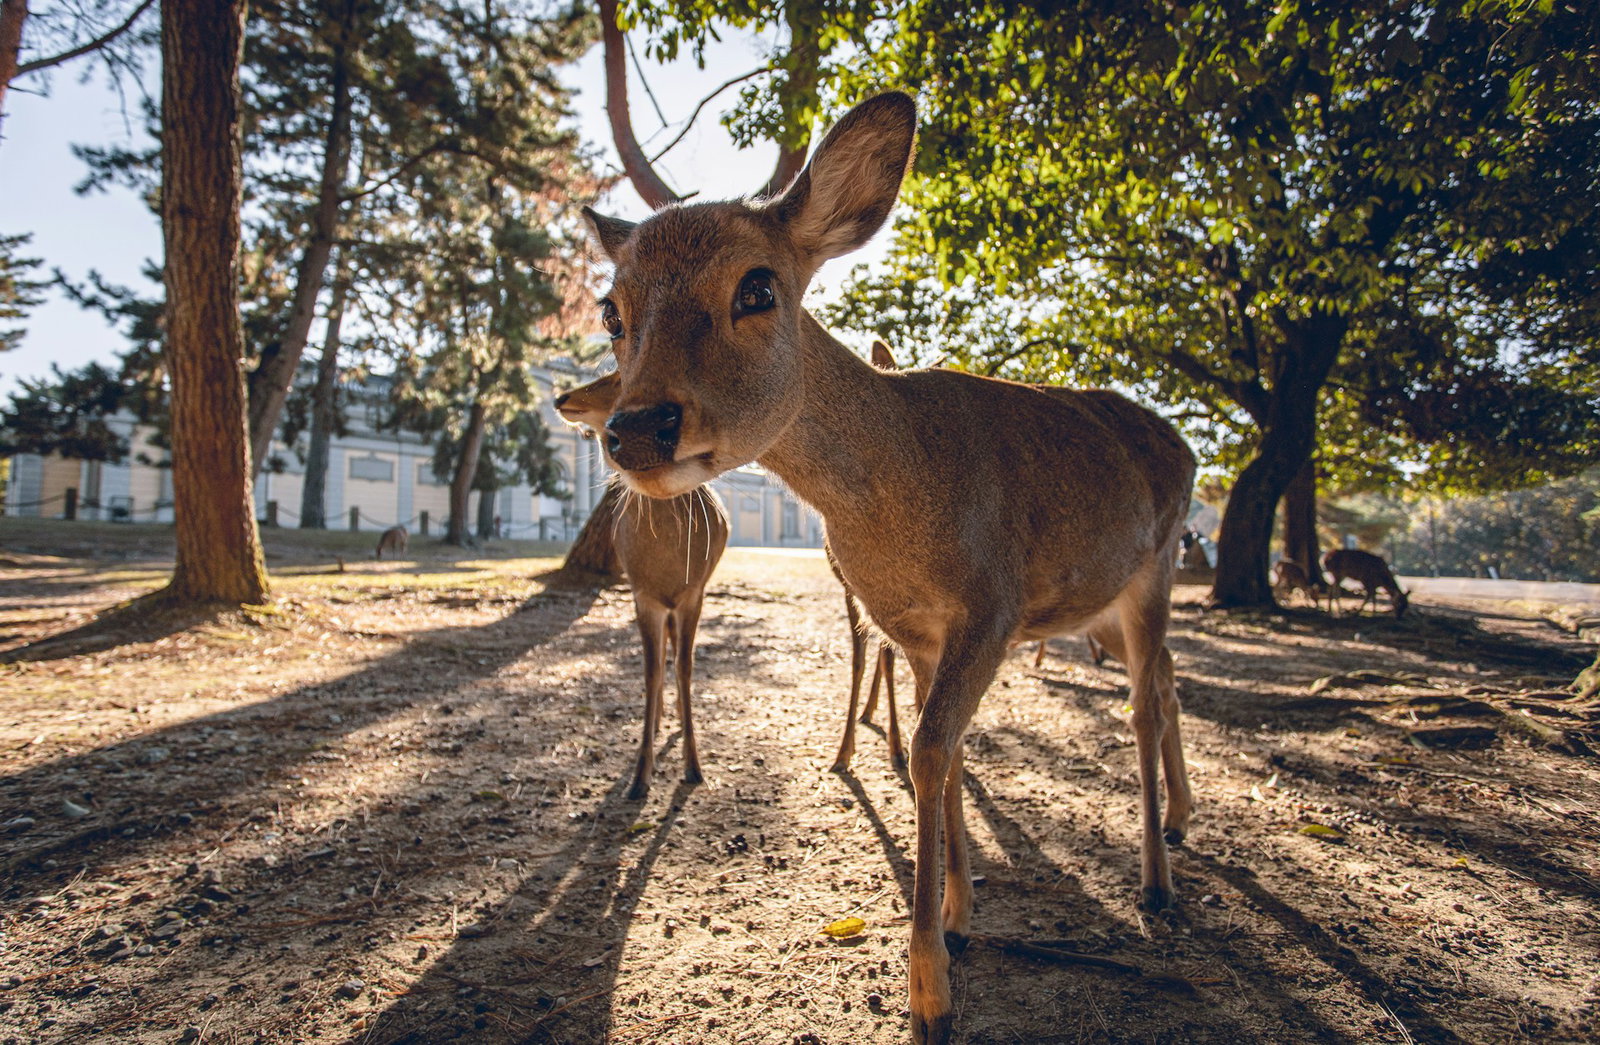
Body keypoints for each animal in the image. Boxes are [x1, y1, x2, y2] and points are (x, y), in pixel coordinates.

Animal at [555, 372, 730, 800]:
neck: (666, 561)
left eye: (619, 376)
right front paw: (639, 776)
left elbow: (685, 666)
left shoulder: (693, 594)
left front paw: (694, 766)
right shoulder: (643, 594)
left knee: (675, 652)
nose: (561, 397)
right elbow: (650, 671)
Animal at [580, 92, 1196, 1044]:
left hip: (1157, 564)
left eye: (757, 286)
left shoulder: (993, 603)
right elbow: (937, 747)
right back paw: (1179, 823)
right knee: (1166, 679)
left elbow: (932, 747)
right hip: (1114, 598)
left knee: (1143, 699)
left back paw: (1157, 883)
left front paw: (930, 990)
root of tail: (1188, 447)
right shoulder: (908, 624)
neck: (900, 505)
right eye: (612, 310)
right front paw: (961, 913)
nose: (637, 429)